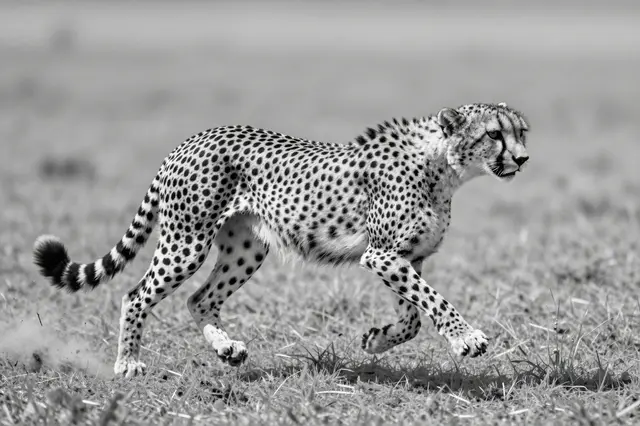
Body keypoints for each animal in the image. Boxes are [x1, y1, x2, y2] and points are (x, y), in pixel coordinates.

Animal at [33, 102, 529, 378]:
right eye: (494, 134)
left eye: (521, 131)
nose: (523, 159)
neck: (442, 165)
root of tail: (193, 138)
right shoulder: (382, 255)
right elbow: (434, 303)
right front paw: (467, 339)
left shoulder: (405, 257)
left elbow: (413, 319)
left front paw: (375, 341)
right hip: (186, 241)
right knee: (136, 295)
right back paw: (129, 364)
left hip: (247, 249)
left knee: (199, 299)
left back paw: (227, 349)